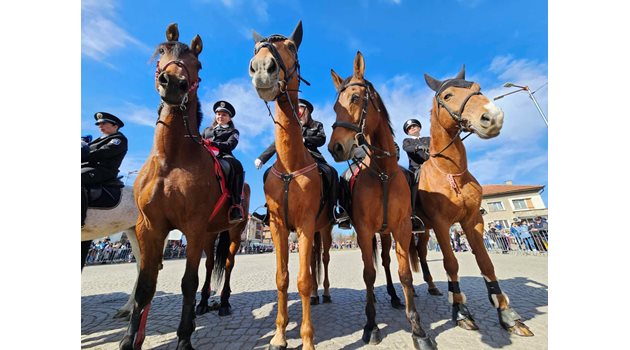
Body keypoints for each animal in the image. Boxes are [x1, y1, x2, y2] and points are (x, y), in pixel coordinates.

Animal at [120, 23, 252, 348]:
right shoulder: (149, 227)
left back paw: (223, 303)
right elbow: (146, 285)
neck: (171, 158)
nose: (173, 83)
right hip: (209, 233)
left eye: (198, 64)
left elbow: (187, 282)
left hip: (232, 232)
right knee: (209, 266)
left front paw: (184, 338)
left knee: (228, 263)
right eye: (162, 52)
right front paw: (129, 339)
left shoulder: (192, 227)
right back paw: (203, 305)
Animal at [248, 20, 338, 348]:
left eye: (290, 46)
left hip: (324, 229)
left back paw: (324, 292)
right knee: (311, 263)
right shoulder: (278, 226)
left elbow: (303, 279)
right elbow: (283, 278)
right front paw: (278, 334)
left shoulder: (306, 224)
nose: (262, 67)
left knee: (322, 260)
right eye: (256, 47)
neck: (290, 165)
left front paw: (307, 338)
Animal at [328, 51, 436, 350]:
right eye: (335, 106)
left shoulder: (402, 228)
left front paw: (418, 329)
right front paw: (371, 325)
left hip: (386, 233)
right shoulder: (364, 231)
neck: (383, 172)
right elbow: (368, 274)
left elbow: (405, 274)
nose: (335, 148)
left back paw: (394, 296)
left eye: (355, 98)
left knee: (387, 262)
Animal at [414, 65, 540, 336]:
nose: (493, 117)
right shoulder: (441, 224)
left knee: (421, 253)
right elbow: (451, 263)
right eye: (448, 95)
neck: (451, 172)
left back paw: (431, 286)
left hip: (424, 231)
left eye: (477, 88)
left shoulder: (472, 221)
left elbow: (486, 262)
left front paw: (506, 313)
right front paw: (460, 311)